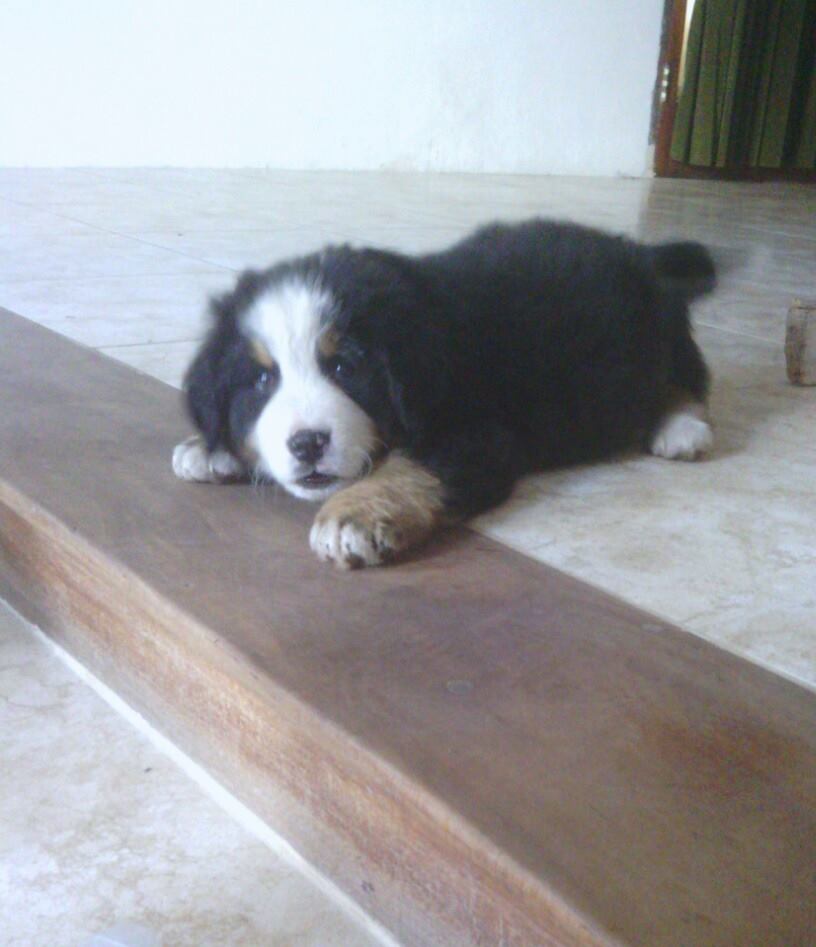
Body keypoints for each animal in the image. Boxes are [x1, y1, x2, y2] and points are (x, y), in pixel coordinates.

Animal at [174, 218, 712, 568]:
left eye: (346, 368)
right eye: (263, 381)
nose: (307, 444)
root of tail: (634, 249)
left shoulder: (482, 434)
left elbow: (413, 463)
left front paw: (355, 513)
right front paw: (209, 447)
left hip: (664, 329)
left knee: (688, 378)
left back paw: (682, 427)